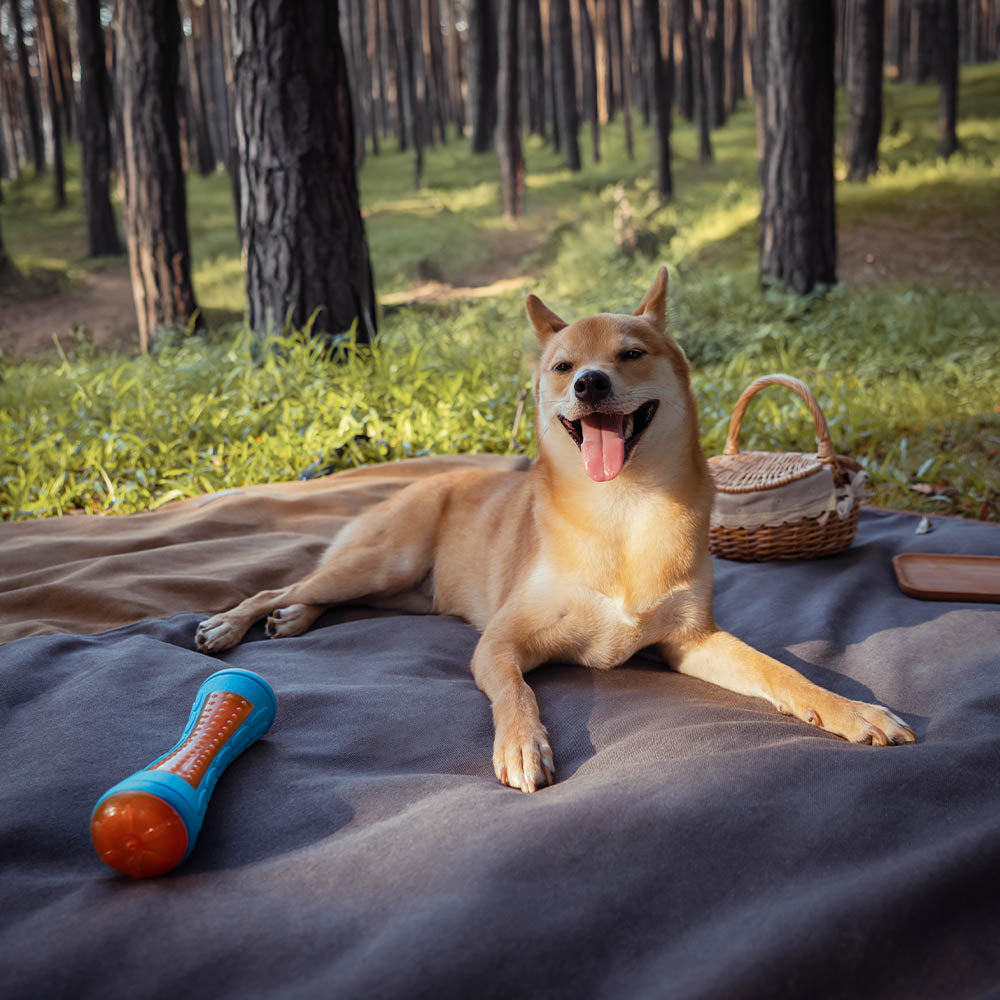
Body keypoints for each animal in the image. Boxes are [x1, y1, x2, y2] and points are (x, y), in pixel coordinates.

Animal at [193, 266, 916, 788]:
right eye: (564, 366)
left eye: (631, 353)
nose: (590, 383)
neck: (622, 508)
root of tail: (418, 481)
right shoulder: (499, 644)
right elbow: (517, 693)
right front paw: (521, 745)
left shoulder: (692, 641)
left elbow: (779, 672)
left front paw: (850, 710)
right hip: (383, 561)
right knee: (281, 586)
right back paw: (232, 623)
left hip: (397, 589)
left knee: (315, 596)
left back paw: (292, 621)